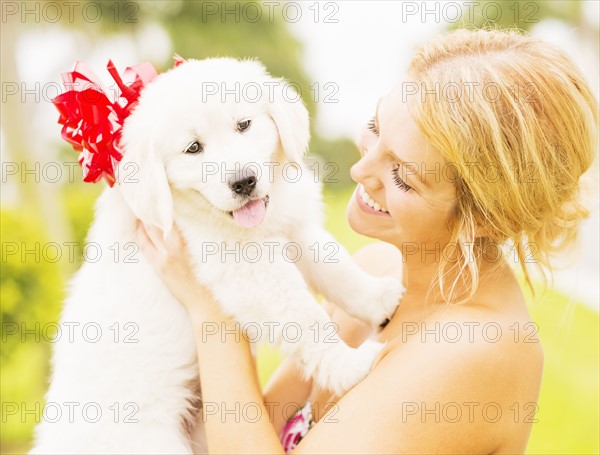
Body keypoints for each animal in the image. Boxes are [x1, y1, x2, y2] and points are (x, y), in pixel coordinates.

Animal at [30, 58, 406, 454]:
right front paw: (349, 365)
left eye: (244, 125)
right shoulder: (246, 267)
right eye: (193, 148)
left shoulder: (289, 228)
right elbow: (305, 317)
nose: (243, 182)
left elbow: (333, 266)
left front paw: (378, 298)